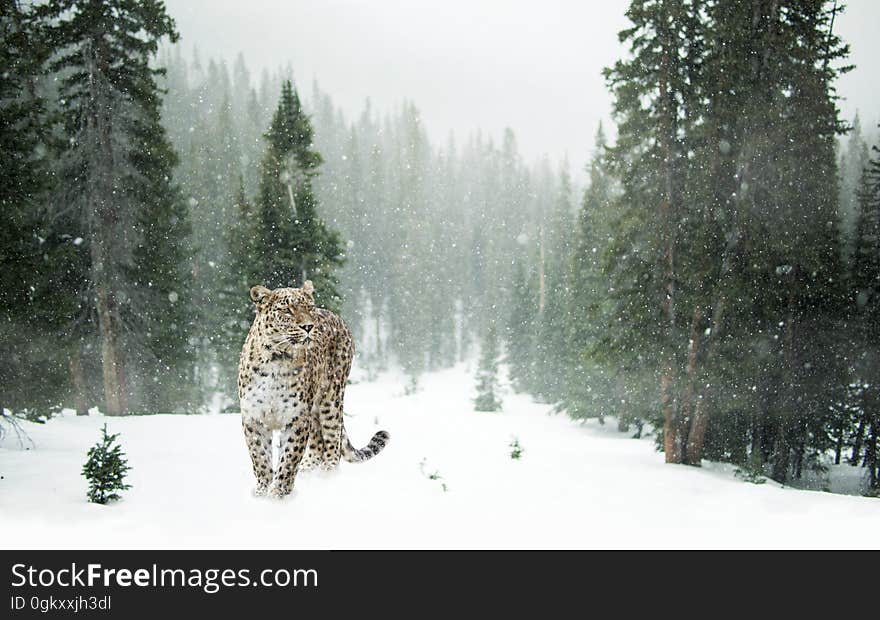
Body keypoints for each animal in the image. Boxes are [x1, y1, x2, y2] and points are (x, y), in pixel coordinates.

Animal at [237, 280, 388, 498]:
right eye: (287, 310)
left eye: (309, 307)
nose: (308, 326)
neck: (277, 359)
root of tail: (337, 317)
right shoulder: (254, 418)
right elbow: (260, 458)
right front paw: (262, 491)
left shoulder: (297, 418)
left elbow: (289, 458)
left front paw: (279, 493)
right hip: (315, 409)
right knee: (317, 442)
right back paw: (308, 470)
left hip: (331, 399)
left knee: (333, 440)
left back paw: (328, 476)